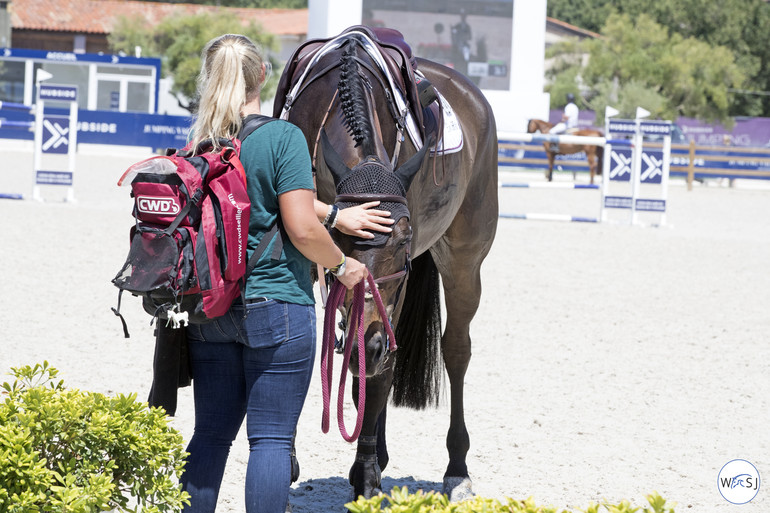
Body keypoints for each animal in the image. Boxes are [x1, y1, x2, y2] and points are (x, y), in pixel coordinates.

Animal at [274, 27, 498, 500]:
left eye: (405, 239)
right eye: (338, 237)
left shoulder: (394, 289)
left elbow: (378, 370)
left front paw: (366, 475)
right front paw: (291, 461)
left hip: (465, 261)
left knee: (454, 350)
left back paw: (456, 469)